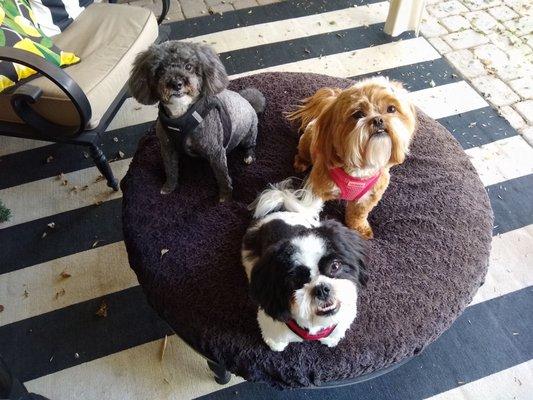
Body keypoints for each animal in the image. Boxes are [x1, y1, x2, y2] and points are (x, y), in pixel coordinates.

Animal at [243, 181, 368, 350]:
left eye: (335, 266)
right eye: (296, 280)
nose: (321, 288)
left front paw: (331, 340)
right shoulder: (271, 324)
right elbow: (275, 339)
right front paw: (276, 346)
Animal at [286, 76, 416, 238]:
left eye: (391, 109)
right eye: (358, 114)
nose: (378, 119)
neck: (360, 169)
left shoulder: (369, 197)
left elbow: (358, 214)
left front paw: (359, 228)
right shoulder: (318, 187)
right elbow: (311, 207)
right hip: (307, 142)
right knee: (303, 154)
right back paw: (300, 163)